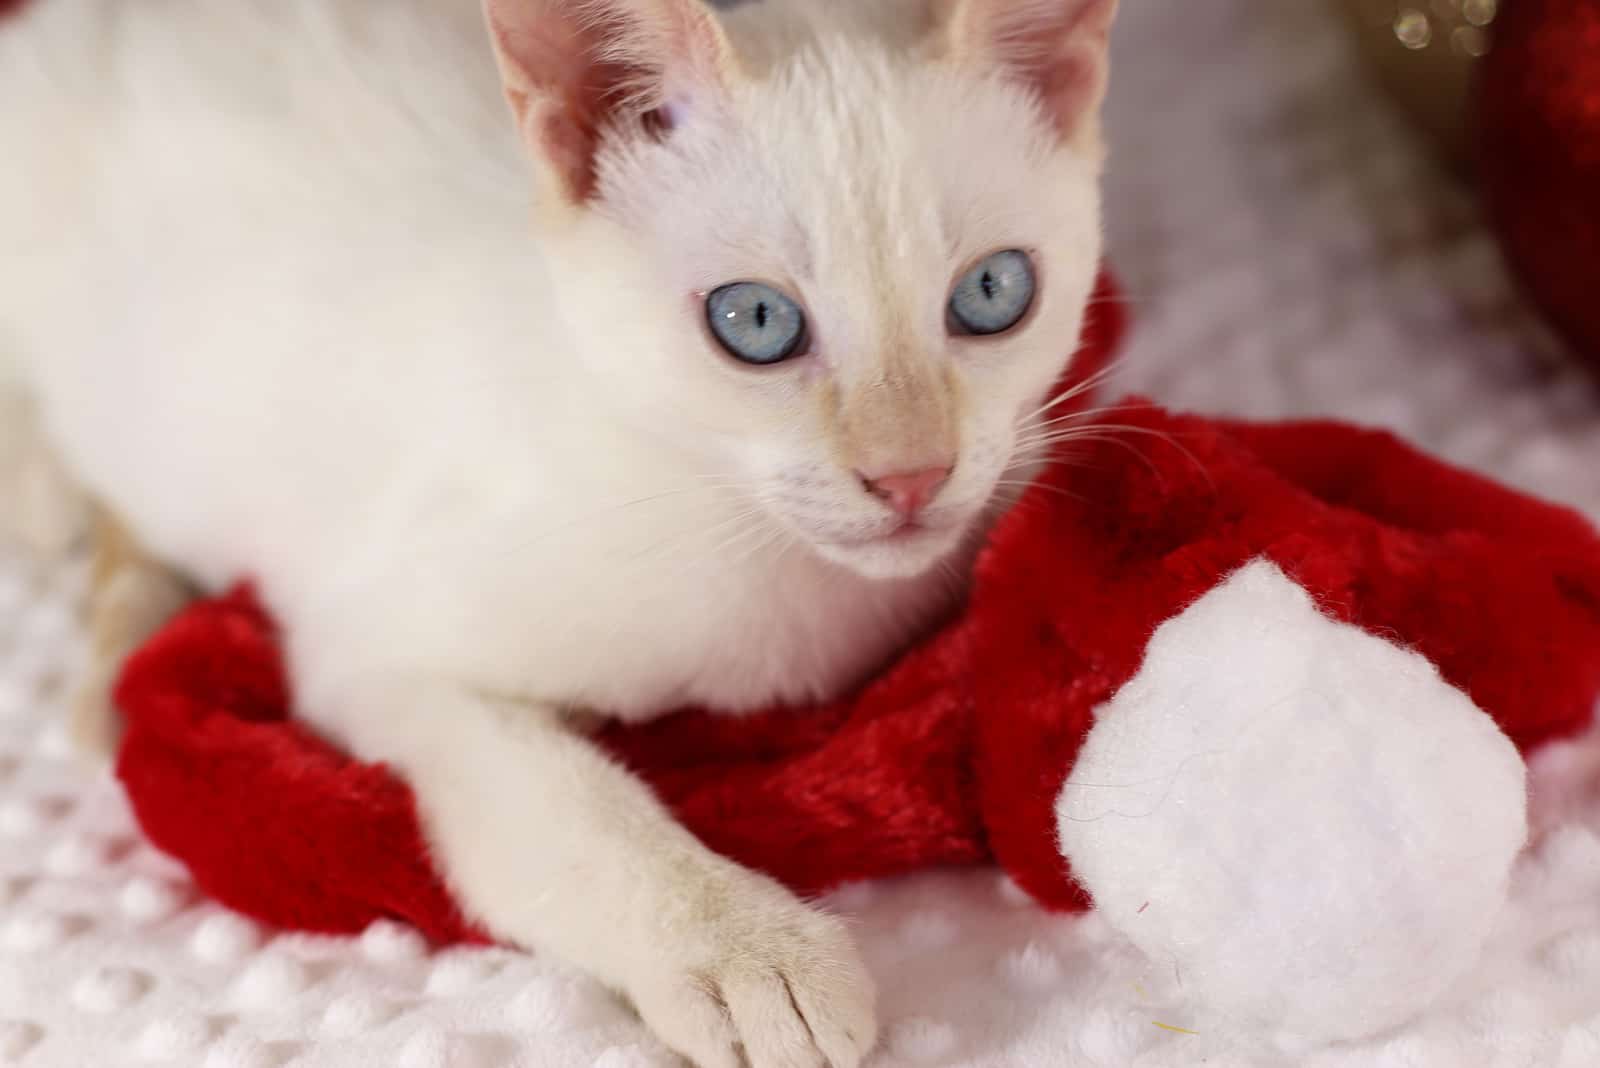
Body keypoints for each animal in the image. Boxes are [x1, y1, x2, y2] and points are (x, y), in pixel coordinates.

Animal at [0, 2, 1120, 1061]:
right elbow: (571, 811)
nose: (910, 475)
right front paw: (745, 951)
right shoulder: (376, 653)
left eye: (993, 292)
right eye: (755, 322)